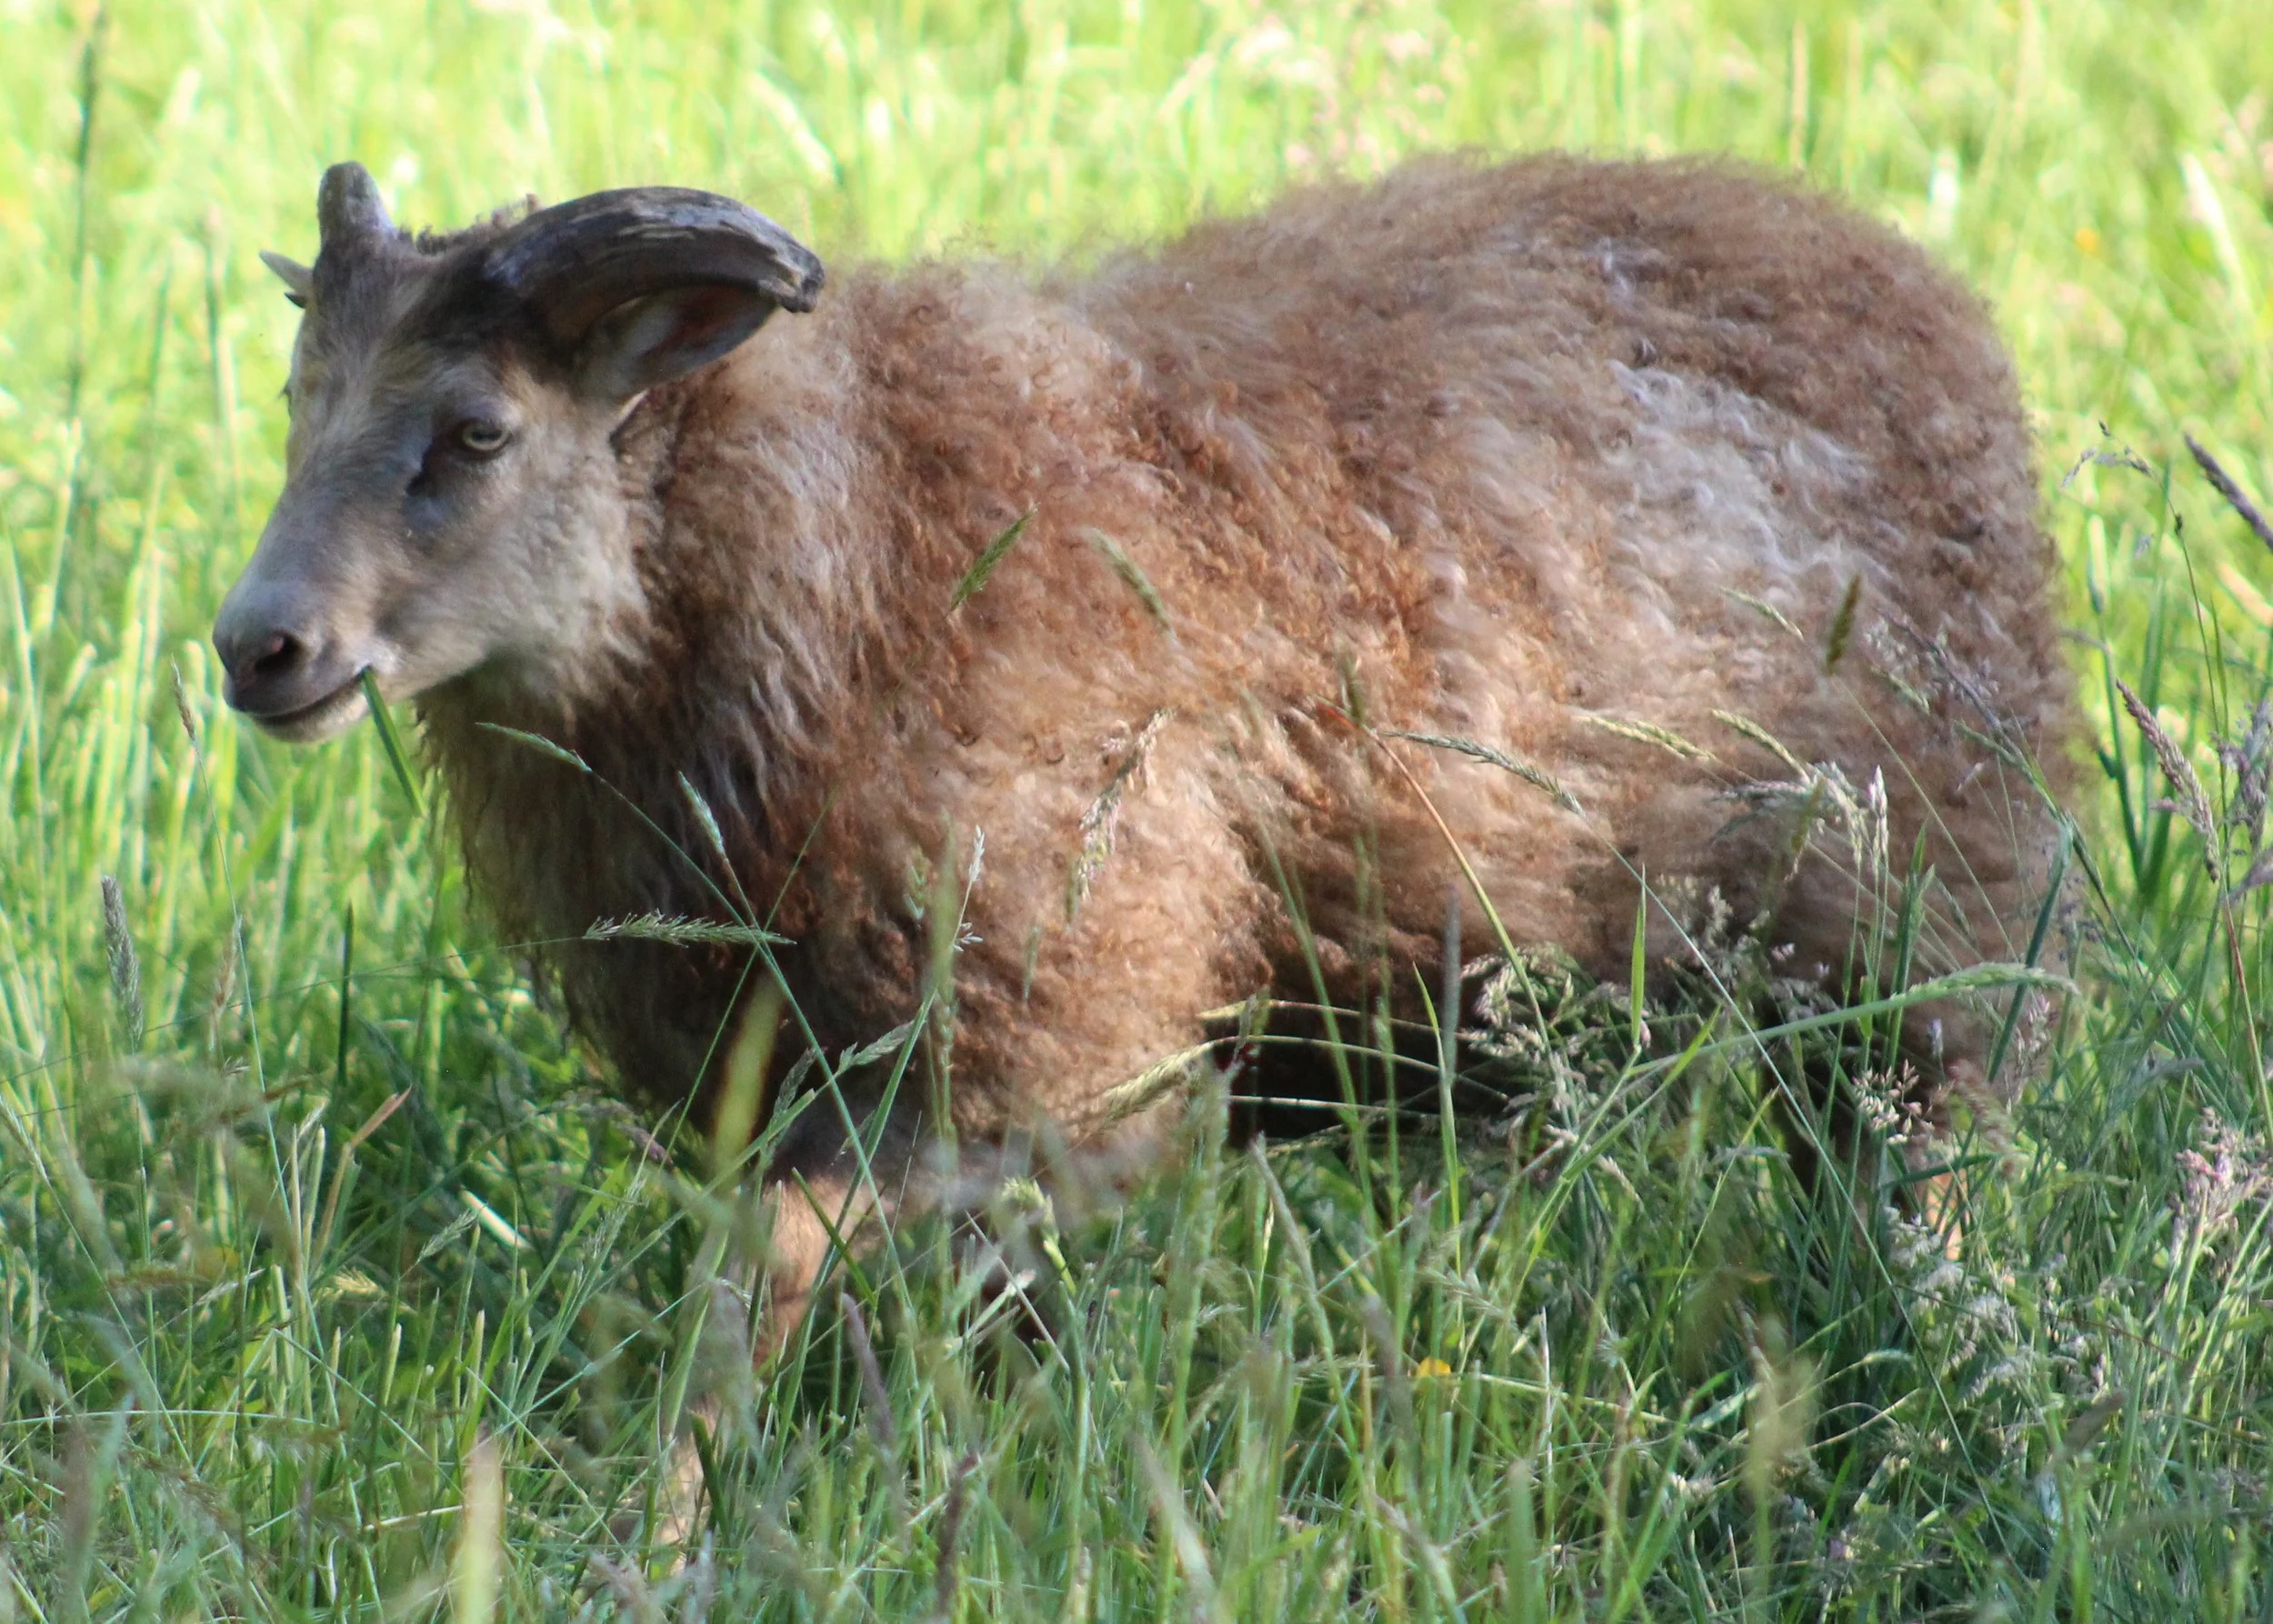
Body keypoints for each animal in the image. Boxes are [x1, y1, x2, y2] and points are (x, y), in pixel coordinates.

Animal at [214, 153, 2075, 1335]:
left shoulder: (1053, 1053)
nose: (257, 647)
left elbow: (785, 1274)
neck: (850, 540)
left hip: (1925, 942)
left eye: (475, 430)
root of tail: (1911, 283)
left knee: (1928, 1174)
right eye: (298, 406)